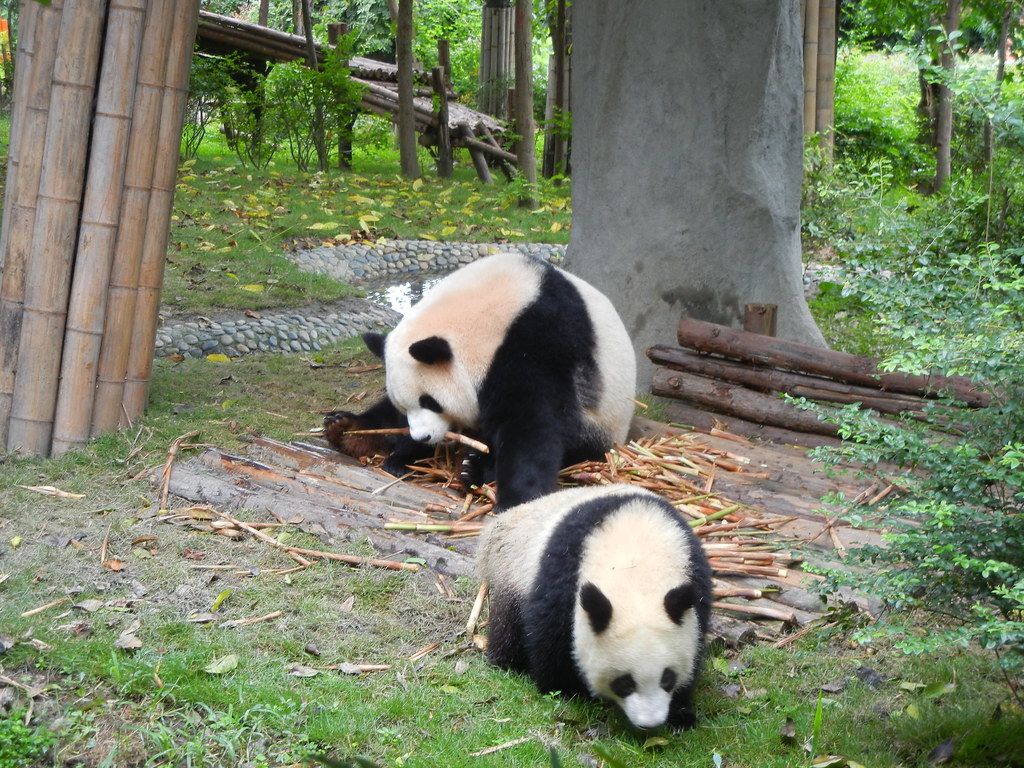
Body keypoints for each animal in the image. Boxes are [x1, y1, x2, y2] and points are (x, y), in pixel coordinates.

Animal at [323, 253, 636, 509]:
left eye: (430, 402)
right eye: (407, 407)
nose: (421, 437)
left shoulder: (538, 342)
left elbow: (534, 423)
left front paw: (517, 497)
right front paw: (402, 450)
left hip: (603, 421)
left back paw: (471, 469)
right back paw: (347, 429)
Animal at [476, 484, 712, 731]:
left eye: (667, 678)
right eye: (624, 683)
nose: (649, 724)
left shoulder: (694, 572)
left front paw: (681, 713)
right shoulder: (562, 575)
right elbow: (549, 636)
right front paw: (564, 688)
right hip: (513, 571)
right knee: (508, 626)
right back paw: (506, 662)